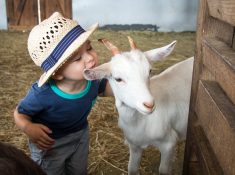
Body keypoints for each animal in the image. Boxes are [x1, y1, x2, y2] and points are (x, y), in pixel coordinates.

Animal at [83, 37, 194, 175]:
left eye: (150, 71)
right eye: (118, 79)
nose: (149, 104)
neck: (140, 123)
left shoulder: (169, 144)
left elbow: (163, 170)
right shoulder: (134, 145)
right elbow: (132, 168)